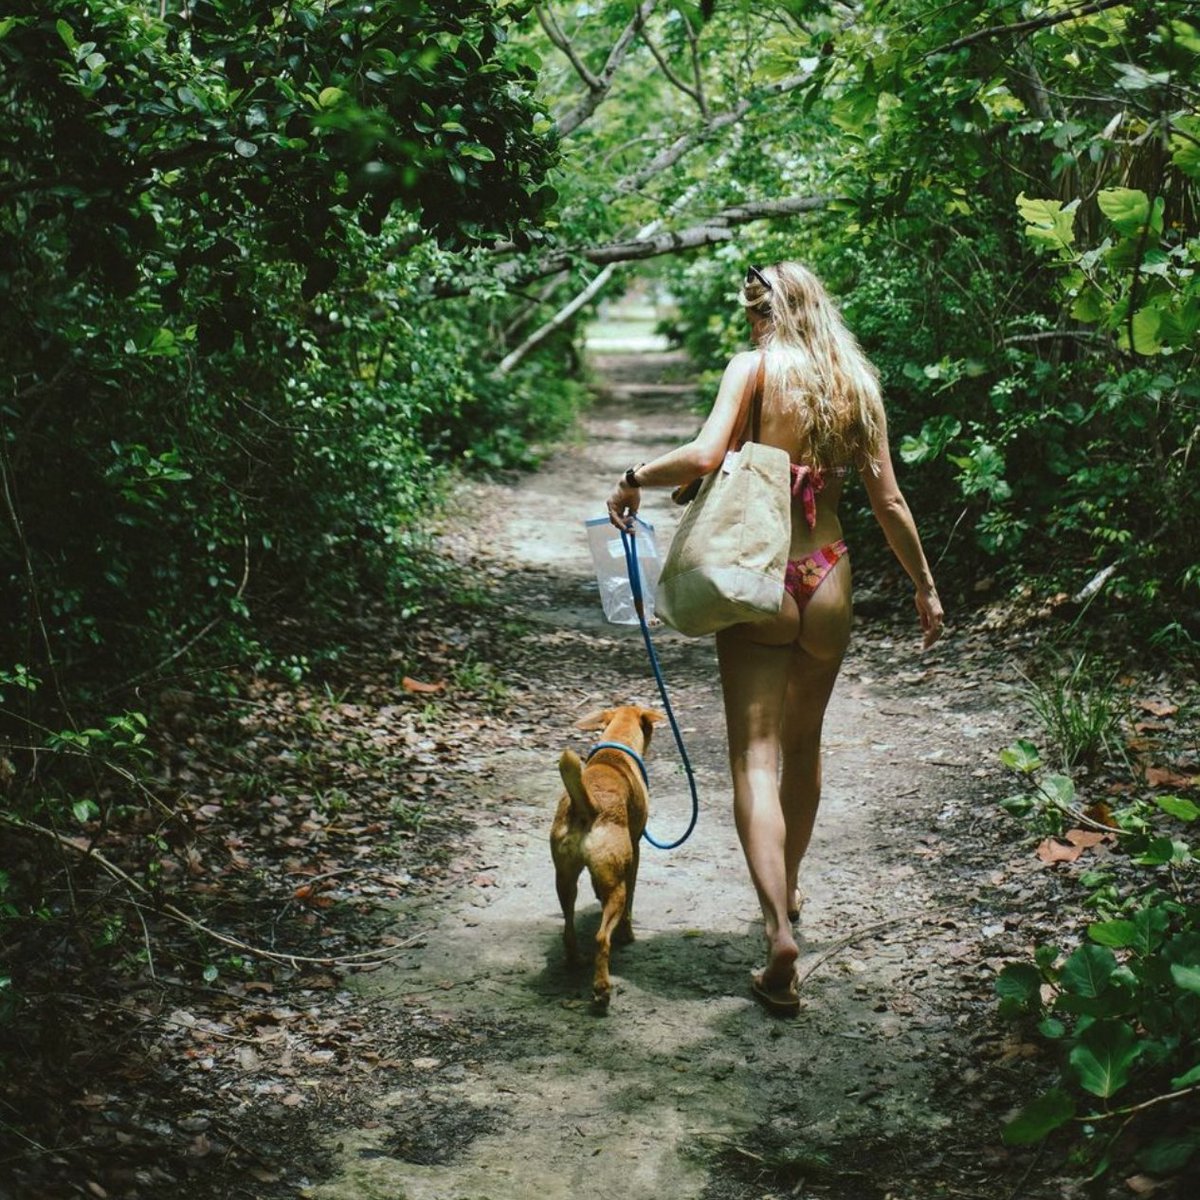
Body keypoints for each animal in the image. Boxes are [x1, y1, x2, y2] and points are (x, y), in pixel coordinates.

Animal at [549, 705, 662, 1008]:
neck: (616, 747)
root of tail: (586, 804)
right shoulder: (635, 850)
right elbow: (631, 900)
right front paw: (627, 934)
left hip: (564, 880)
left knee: (568, 928)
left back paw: (575, 961)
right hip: (616, 889)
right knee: (601, 938)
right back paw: (601, 989)